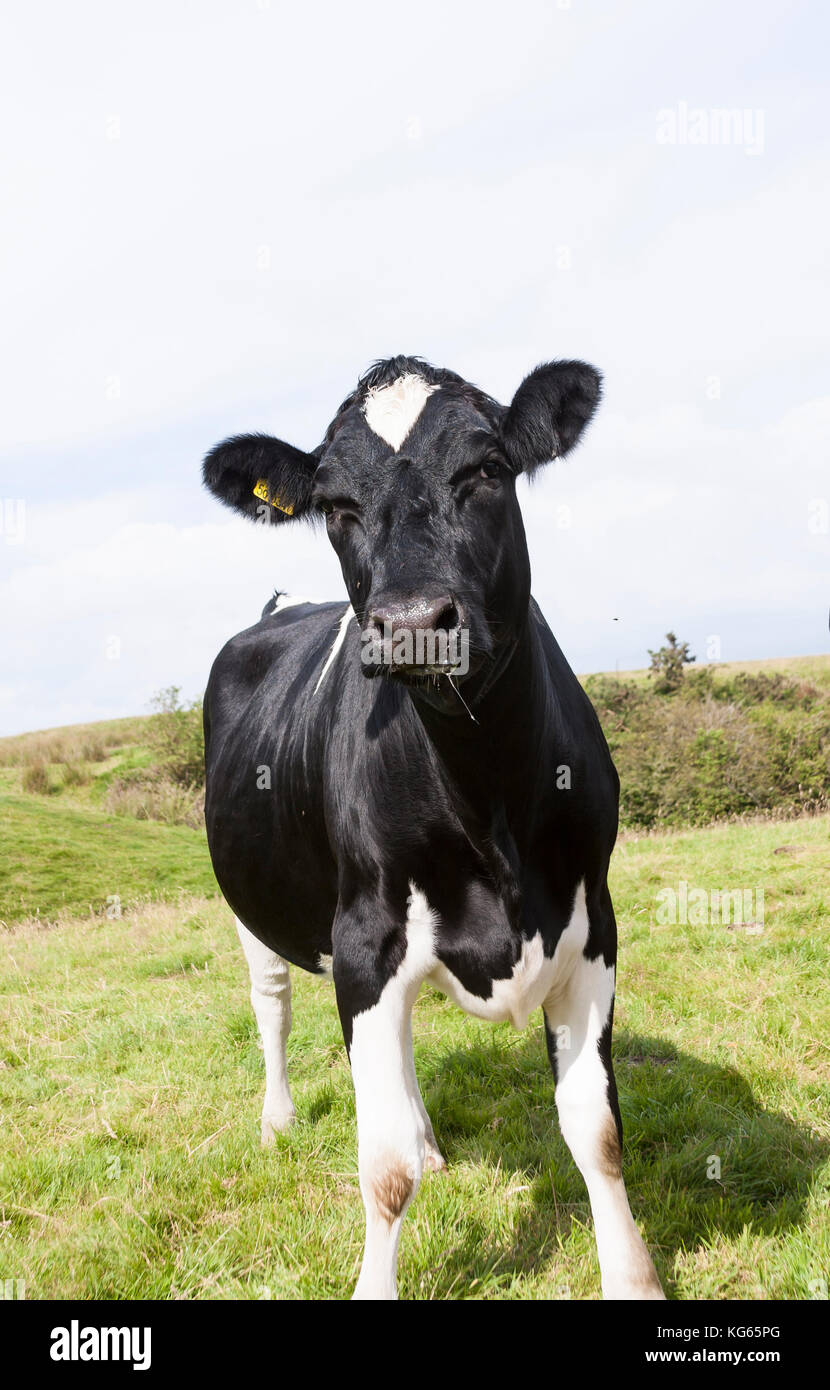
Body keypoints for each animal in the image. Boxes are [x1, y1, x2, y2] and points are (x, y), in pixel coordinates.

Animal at [201, 355, 664, 1301]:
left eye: (486, 470)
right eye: (335, 504)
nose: (413, 626)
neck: (486, 794)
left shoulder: (592, 921)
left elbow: (597, 1132)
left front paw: (633, 1278)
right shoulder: (366, 934)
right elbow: (381, 1172)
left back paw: (429, 1138)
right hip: (257, 910)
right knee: (273, 1006)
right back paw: (278, 1119)